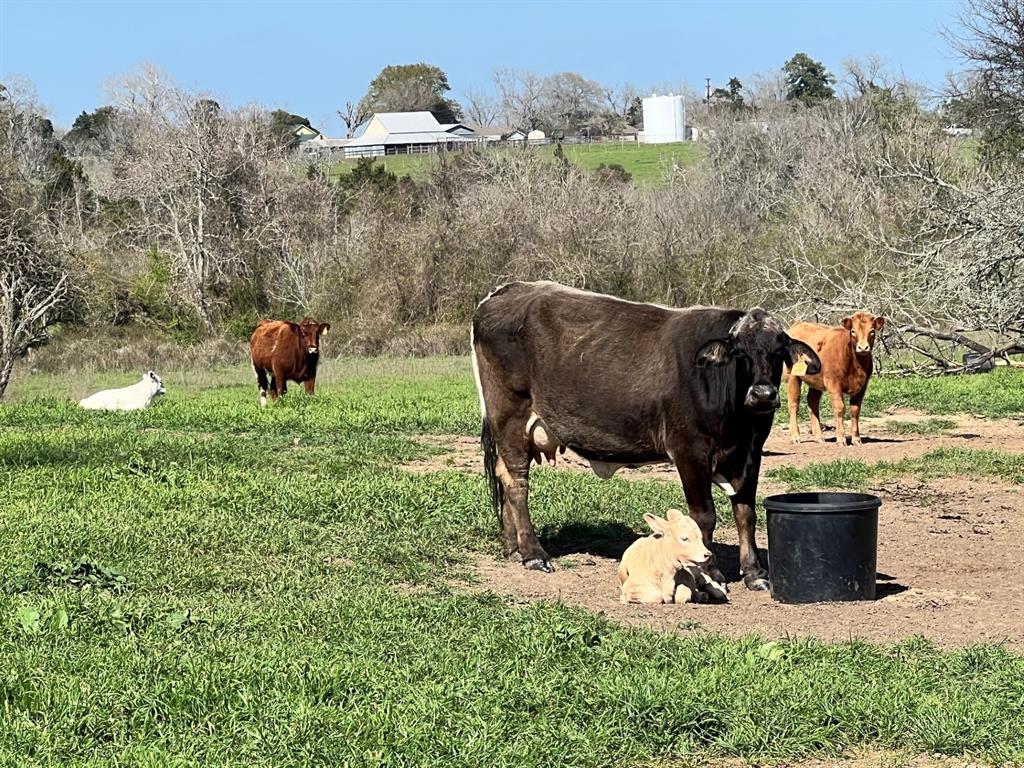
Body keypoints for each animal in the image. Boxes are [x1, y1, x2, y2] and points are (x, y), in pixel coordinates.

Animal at [468, 280, 819, 589]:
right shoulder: (690, 451)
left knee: (503, 476)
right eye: (740, 353)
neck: (738, 424)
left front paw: (755, 573)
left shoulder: (750, 453)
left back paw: (512, 546)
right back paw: (532, 553)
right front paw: (710, 572)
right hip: (510, 416)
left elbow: (746, 512)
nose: (763, 394)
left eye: (778, 352)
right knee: (516, 482)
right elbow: (704, 516)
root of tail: (506, 291)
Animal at [786, 311, 884, 448]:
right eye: (853, 331)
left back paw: (819, 437)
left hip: (816, 381)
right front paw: (841, 439)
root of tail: (798, 324)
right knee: (794, 403)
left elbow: (855, 410)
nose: (863, 348)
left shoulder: (862, 386)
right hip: (792, 376)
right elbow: (840, 408)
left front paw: (856, 439)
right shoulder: (833, 383)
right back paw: (795, 436)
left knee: (812, 402)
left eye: (872, 331)